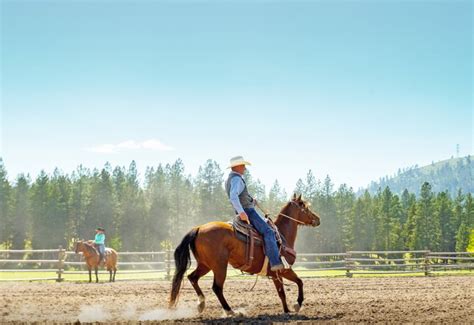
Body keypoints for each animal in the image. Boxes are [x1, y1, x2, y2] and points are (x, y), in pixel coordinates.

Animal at [168, 194, 320, 312]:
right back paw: (230, 311)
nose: (317, 219)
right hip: (219, 266)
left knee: (192, 277)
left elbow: (286, 290)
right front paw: (296, 305)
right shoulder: (283, 270)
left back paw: (201, 304)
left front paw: (287, 310)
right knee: (217, 287)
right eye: (306, 207)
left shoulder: (277, 273)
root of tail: (198, 228)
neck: (281, 235)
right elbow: (295, 284)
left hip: (205, 265)